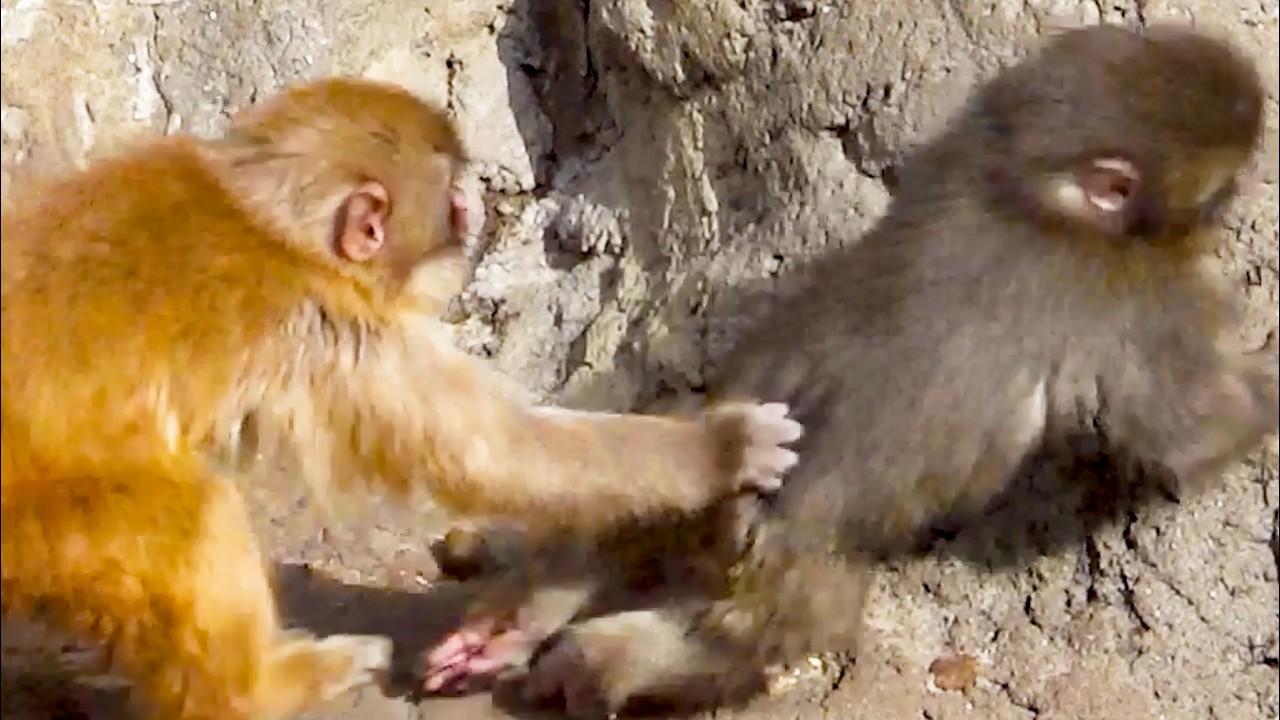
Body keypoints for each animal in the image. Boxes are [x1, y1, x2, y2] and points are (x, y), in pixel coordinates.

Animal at [0, 77, 805, 720]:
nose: (474, 211)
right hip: (61, 529)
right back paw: (267, 689)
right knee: (196, 516)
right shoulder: (337, 329)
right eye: (449, 197)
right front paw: (721, 447)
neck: (269, 215)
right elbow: (492, 454)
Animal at [418, 23, 1280, 717]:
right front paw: (1269, 370)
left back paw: (528, 622)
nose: (1234, 208)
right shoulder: (1137, 297)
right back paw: (598, 664)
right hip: (794, 561)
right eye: (1220, 189)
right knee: (758, 631)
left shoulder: (970, 138)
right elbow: (1190, 432)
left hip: (715, 446)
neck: (1026, 185)